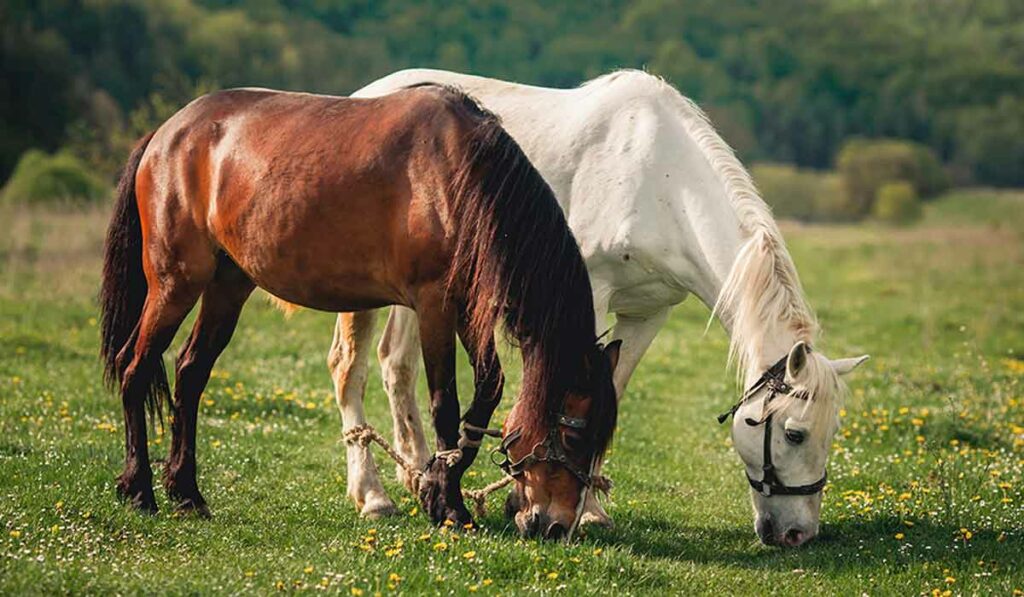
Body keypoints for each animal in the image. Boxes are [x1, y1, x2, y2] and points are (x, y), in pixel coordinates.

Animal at [99, 83, 618, 536]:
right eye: (574, 436)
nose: (556, 526)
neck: (459, 176)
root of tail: (166, 134)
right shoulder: (435, 305)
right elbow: (445, 404)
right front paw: (449, 505)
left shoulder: (468, 308)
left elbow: (487, 391)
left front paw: (437, 487)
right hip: (175, 284)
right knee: (136, 368)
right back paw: (140, 489)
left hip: (228, 287)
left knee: (190, 374)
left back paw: (186, 493)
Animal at [325, 69, 864, 544]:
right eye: (794, 433)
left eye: (833, 431)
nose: (797, 534)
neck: (662, 183)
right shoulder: (589, 301)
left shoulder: (649, 314)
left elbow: (612, 391)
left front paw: (589, 508)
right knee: (350, 369)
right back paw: (373, 495)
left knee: (397, 365)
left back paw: (419, 474)